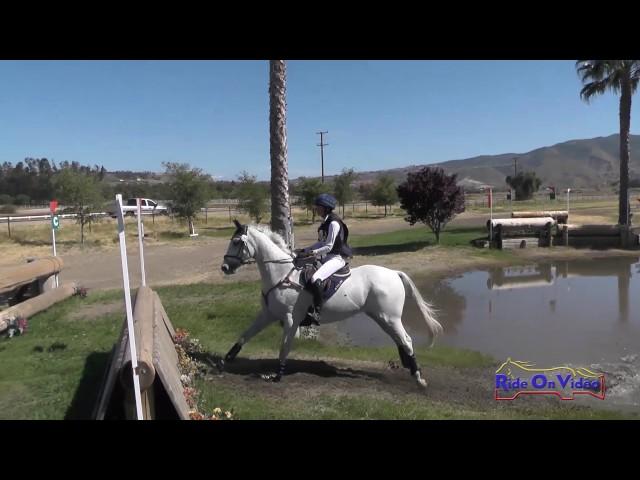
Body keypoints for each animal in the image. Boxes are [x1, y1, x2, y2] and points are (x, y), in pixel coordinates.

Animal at [218, 219, 442, 388]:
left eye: (237, 242)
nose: (225, 267)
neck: (281, 274)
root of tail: (394, 273)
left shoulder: (291, 319)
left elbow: (284, 347)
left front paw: (277, 375)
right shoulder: (268, 314)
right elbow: (244, 336)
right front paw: (225, 360)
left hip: (389, 317)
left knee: (406, 340)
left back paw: (418, 377)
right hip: (381, 317)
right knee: (400, 341)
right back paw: (410, 368)